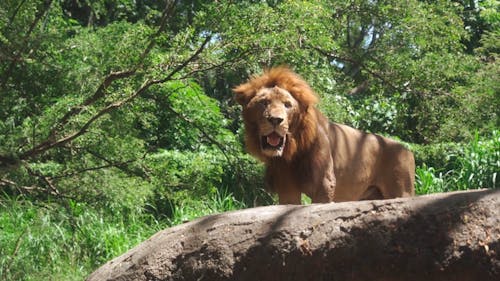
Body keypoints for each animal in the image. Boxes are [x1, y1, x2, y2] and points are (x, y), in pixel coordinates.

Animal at [233, 67, 414, 203]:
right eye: (264, 102)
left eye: (287, 105)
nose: (275, 120)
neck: (293, 150)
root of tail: (407, 150)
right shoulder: (287, 186)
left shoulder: (324, 183)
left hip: (402, 190)